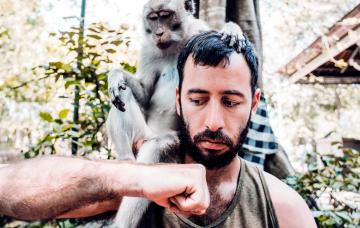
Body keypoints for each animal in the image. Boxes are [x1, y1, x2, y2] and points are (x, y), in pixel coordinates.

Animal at [105, 0, 245, 226]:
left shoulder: (199, 30)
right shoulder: (149, 49)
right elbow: (144, 92)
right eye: (153, 18)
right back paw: (126, 161)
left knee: (158, 146)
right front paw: (116, 75)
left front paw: (232, 29)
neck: (175, 45)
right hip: (142, 133)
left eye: (165, 15)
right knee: (123, 95)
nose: (159, 33)